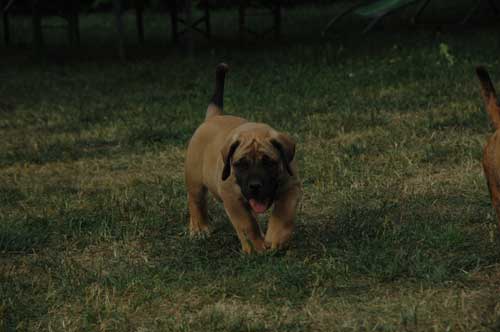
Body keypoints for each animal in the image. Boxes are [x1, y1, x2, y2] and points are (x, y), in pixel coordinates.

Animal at [185, 63, 298, 253]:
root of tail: (214, 117)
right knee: (196, 202)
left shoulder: (291, 187)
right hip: (194, 180)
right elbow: (247, 224)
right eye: (240, 164)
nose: (255, 186)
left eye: (269, 163)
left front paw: (275, 240)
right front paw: (256, 247)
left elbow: (283, 215)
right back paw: (199, 228)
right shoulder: (232, 198)